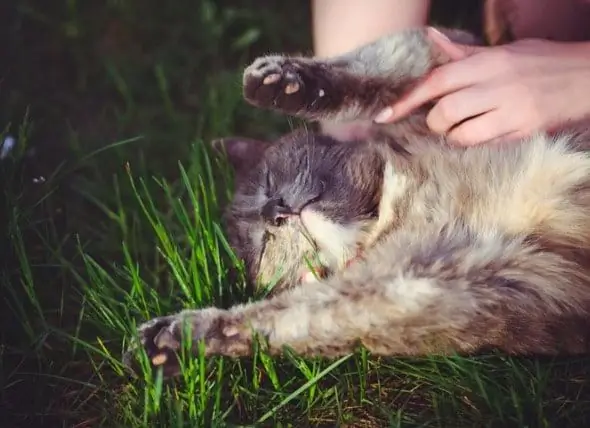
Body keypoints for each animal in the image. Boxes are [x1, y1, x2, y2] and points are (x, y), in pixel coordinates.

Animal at [126, 25, 590, 378]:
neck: (401, 198)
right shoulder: (443, 288)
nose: (275, 211)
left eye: (269, 182)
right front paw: (176, 339)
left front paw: (286, 81)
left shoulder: (447, 62)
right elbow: (300, 317)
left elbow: (380, 66)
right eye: (261, 245)